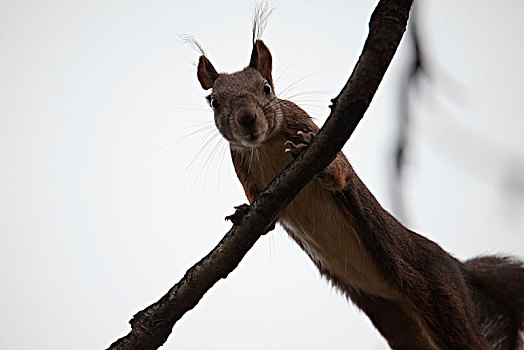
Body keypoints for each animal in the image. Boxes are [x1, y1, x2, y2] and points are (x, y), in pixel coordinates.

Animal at [194, 39, 520, 350]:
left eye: (266, 88)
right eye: (214, 102)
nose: (247, 119)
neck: (263, 144)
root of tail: (458, 267)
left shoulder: (307, 126)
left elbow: (341, 174)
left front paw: (310, 155)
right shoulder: (245, 169)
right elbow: (266, 218)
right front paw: (242, 213)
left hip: (443, 298)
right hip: (398, 322)